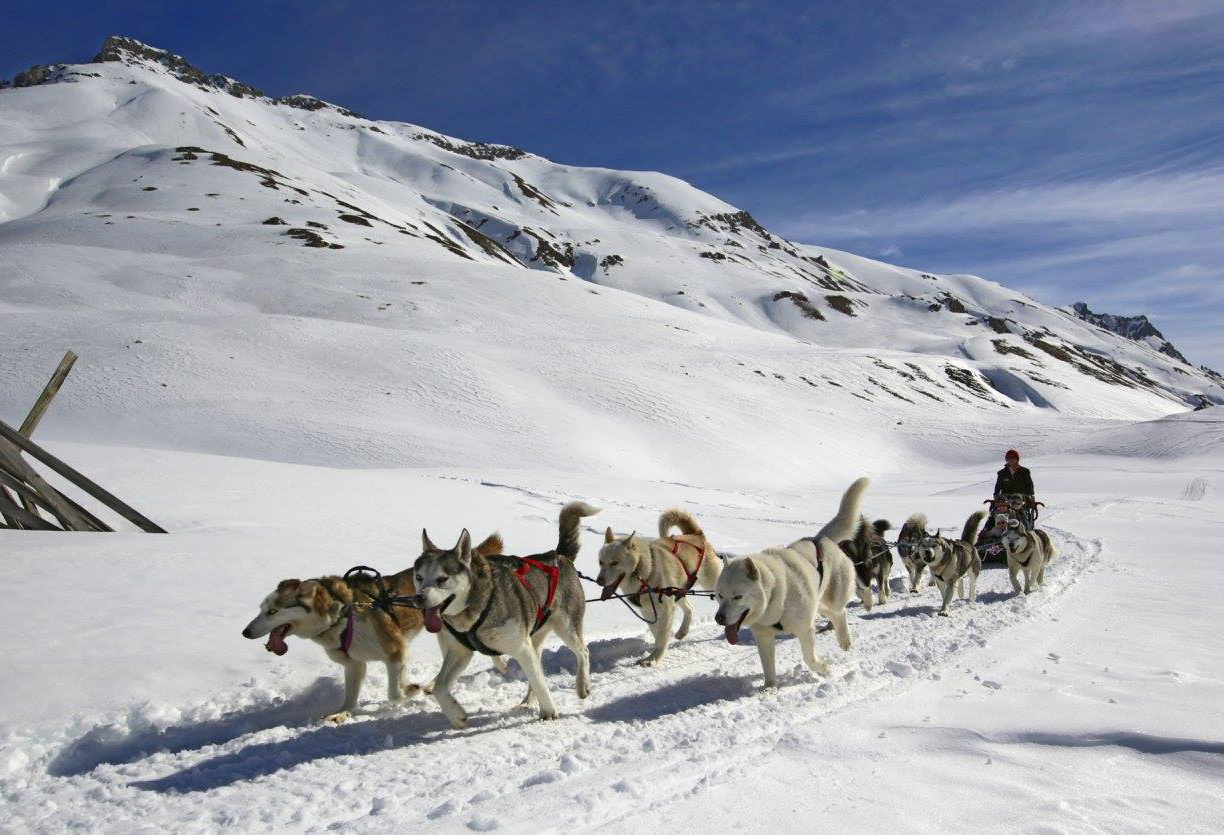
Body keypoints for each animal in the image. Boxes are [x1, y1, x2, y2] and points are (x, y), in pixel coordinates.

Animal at [241, 533, 504, 719]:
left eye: (273, 611)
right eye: (261, 609)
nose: (245, 632)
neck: (344, 615)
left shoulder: (395, 652)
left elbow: (394, 693)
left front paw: (410, 690)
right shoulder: (354, 664)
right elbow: (350, 695)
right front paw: (342, 713)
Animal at [413, 497, 599, 724]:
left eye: (442, 579)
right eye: (419, 577)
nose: (418, 598)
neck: (478, 609)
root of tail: (558, 555)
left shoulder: (521, 647)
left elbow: (540, 682)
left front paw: (549, 712)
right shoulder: (460, 651)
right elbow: (440, 686)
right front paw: (457, 715)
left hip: (566, 627)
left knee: (583, 652)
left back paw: (582, 685)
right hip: (536, 637)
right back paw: (527, 702)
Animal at [714, 477, 866, 685]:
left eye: (738, 596)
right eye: (719, 595)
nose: (719, 618)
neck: (777, 594)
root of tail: (821, 539)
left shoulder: (805, 630)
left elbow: (809, 658)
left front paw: (824, 669)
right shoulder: (764, 637)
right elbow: (768, 670)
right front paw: (769, 688)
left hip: (832, 600)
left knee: (840, 613)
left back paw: (845, 641)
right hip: (818, 604)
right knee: (834, 614)